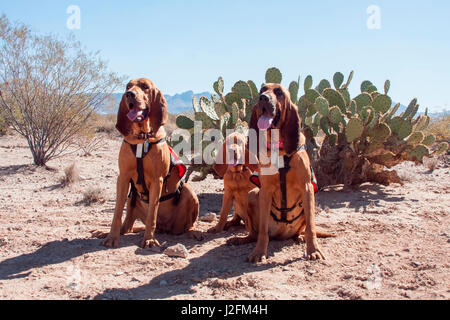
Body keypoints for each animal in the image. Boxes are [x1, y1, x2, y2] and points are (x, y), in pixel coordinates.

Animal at [93, 79, 199, 249]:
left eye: (145, 87)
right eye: (128, 86)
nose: (129, 94)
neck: (142, 137)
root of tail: (167, 228)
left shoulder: (157, 180)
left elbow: (152, 214)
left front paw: (149, 239)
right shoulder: (123, 178)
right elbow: (117, 212)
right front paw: (111, 237)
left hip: (189, 192)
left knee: (188, 225)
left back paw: (192, 232)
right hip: (132, 199)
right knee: (127, 227)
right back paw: (106, 232)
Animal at [246, 82, 334, 262]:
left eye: (279, 92)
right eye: (262, 90)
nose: (263, 98)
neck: (279, 150)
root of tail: (281, 234)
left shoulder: (307, 188)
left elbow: (311, 227)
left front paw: (313, 250)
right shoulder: (265, 191)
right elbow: (263, 231)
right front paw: (259, 252)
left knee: (304, 229)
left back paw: (300, 237)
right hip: (252, 194)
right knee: (254, 232)